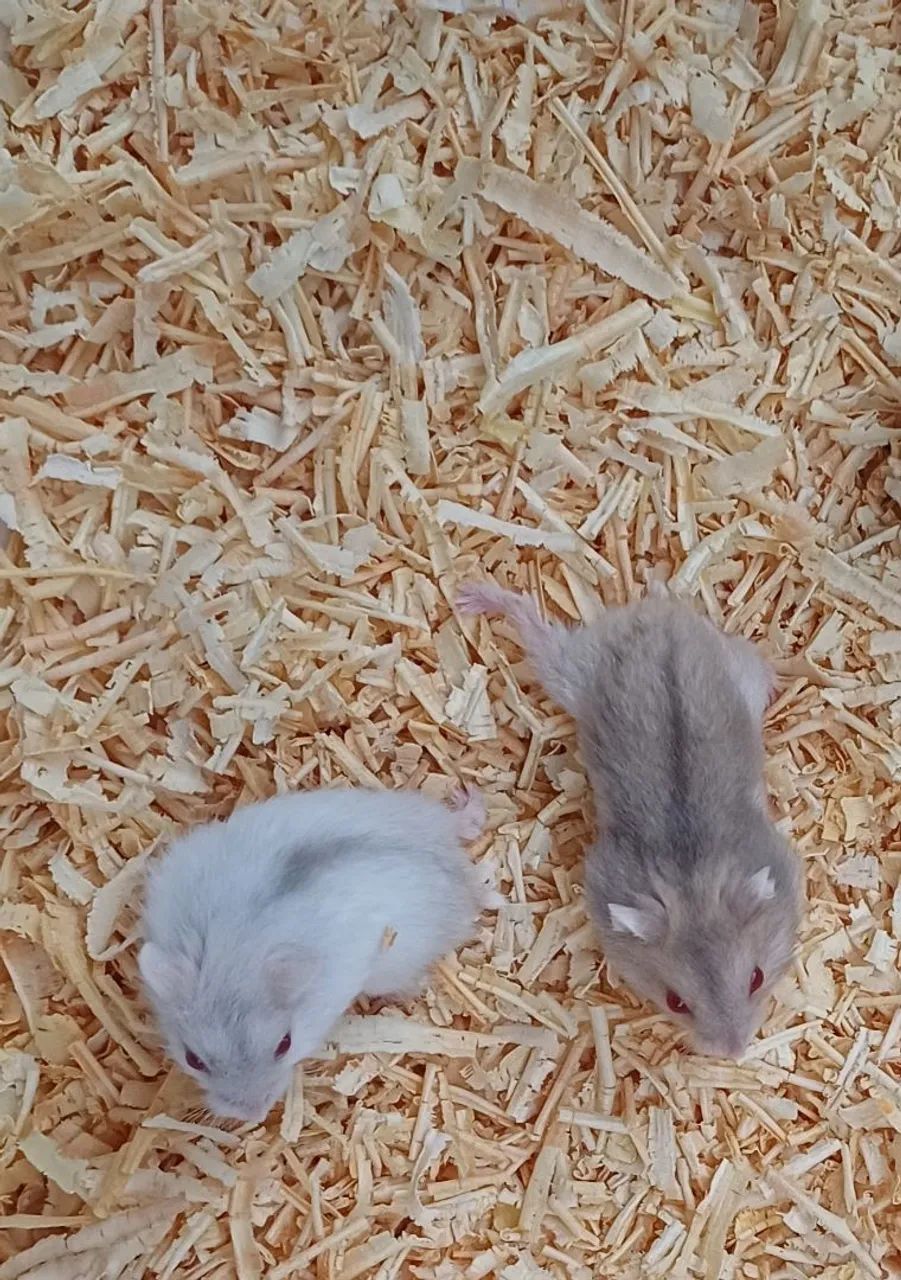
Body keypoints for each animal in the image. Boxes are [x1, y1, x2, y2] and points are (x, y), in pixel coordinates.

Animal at [458, 582, 800, 1058]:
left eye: (757, 978)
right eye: (676, 1002)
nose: (734, 1053)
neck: (690, 882)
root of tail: (655, 618)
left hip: (728, 672)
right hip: (575, 670)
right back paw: (471, 598)